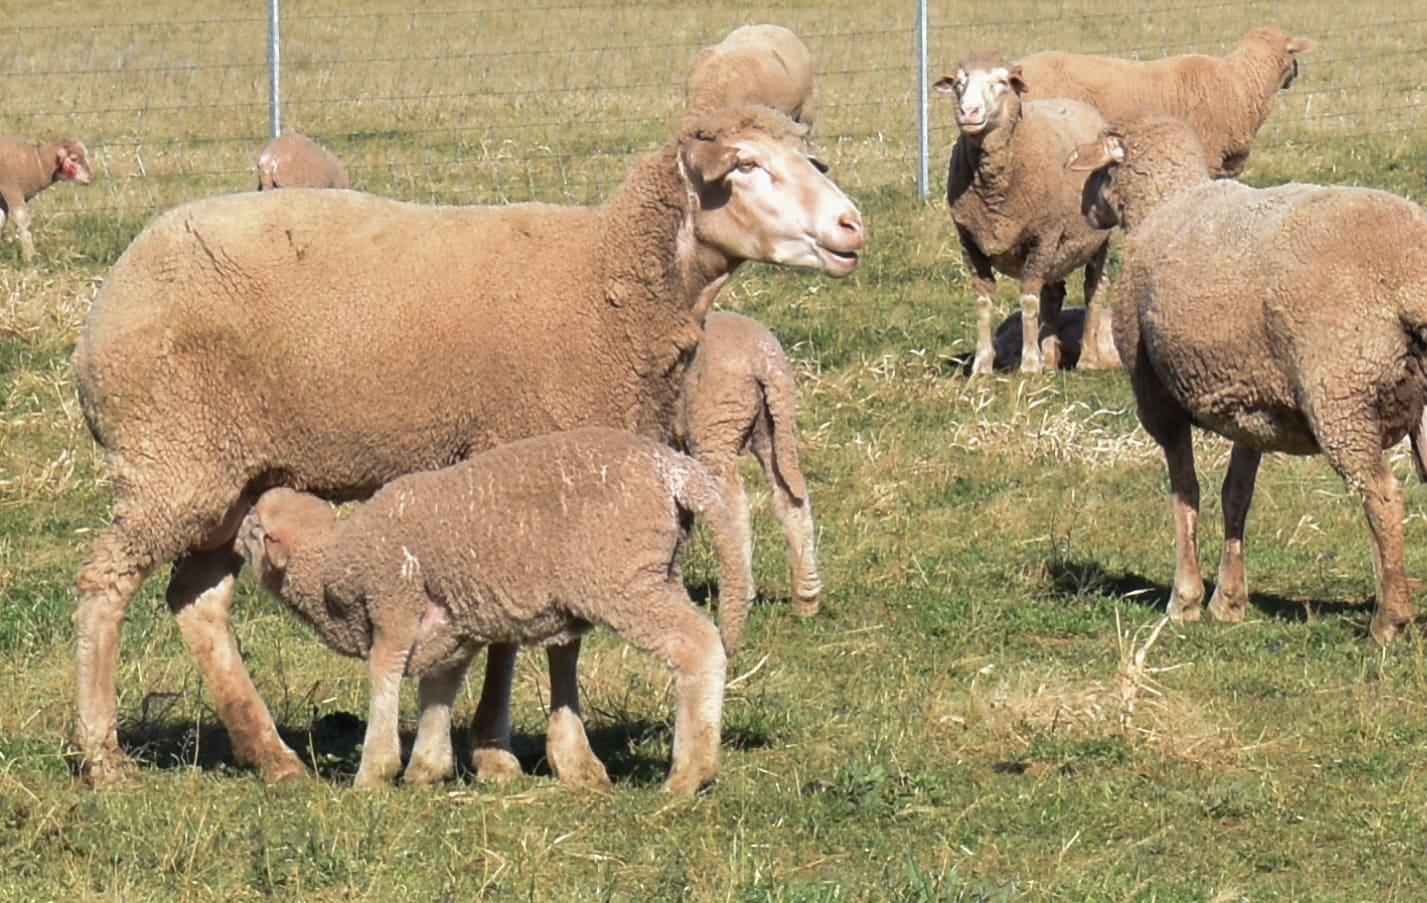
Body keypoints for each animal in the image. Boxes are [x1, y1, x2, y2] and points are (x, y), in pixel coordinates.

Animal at [238, 427, 753, 794]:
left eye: (255, 527)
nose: (235, 537)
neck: (339, 558)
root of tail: (679, 472)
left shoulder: (393, 606)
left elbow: (385, 676)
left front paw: (373, 774)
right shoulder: (450, 628)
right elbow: (438, 689)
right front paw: (427, 769)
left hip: (625, 580)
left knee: (698, 646)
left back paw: (689, 773)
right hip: (657, 571)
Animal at [674, 310, 821, 614]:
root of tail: (763, 358)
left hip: (716, 427)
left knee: (733, 503)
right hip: (774, 425)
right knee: (791, 498)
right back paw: (806, 598)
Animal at [934, 51, 1116, 376]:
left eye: (1002, 82)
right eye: (958, 83)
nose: (968, 112)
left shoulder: (1041, 236)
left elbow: (1029, 302)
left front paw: (1029, 365)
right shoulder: (970, 243)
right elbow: (983, 303)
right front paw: (982, 366)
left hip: (1095, 242)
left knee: (1094, 291)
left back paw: (1086, 358)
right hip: (1056, 248)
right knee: (1053, 296)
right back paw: (1051, 358)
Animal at [1068, 112, 1427, 644]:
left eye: (1099, 167)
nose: (1084, 209)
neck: (1163, 203)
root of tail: (1408, 268)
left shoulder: (1158, 400)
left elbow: (1185, 492)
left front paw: (1185, 600)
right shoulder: (1251, 402)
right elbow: (1236, 495)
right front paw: (1229, 601)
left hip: (1341, 392)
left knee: (1382, 495)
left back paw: (1389, 619)